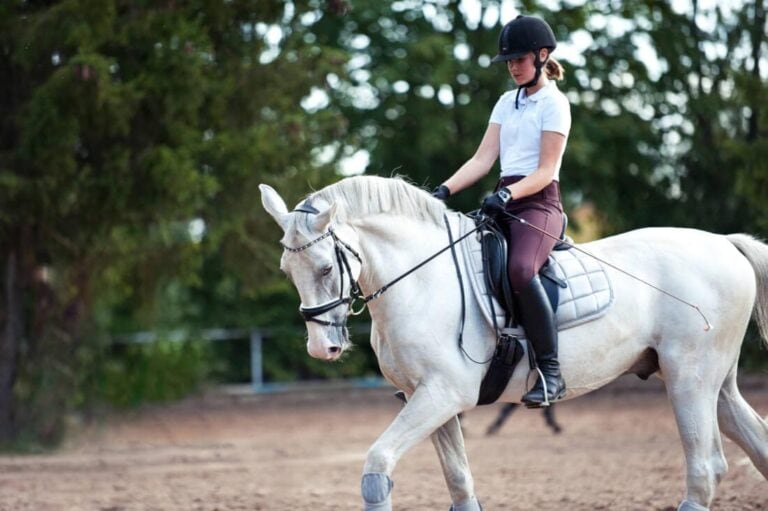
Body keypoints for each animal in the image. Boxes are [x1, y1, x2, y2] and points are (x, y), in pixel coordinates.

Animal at [259, 175, 768, 511]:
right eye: (286, 271)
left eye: (326, 268)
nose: (322, 348)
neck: (422, 280)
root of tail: (725, 243)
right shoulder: (424, 397)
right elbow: (459, 481)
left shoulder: (441, 395)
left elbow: (378, 464)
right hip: (713, 384)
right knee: (752, 444)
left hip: (689, 380)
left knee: (705, 469)